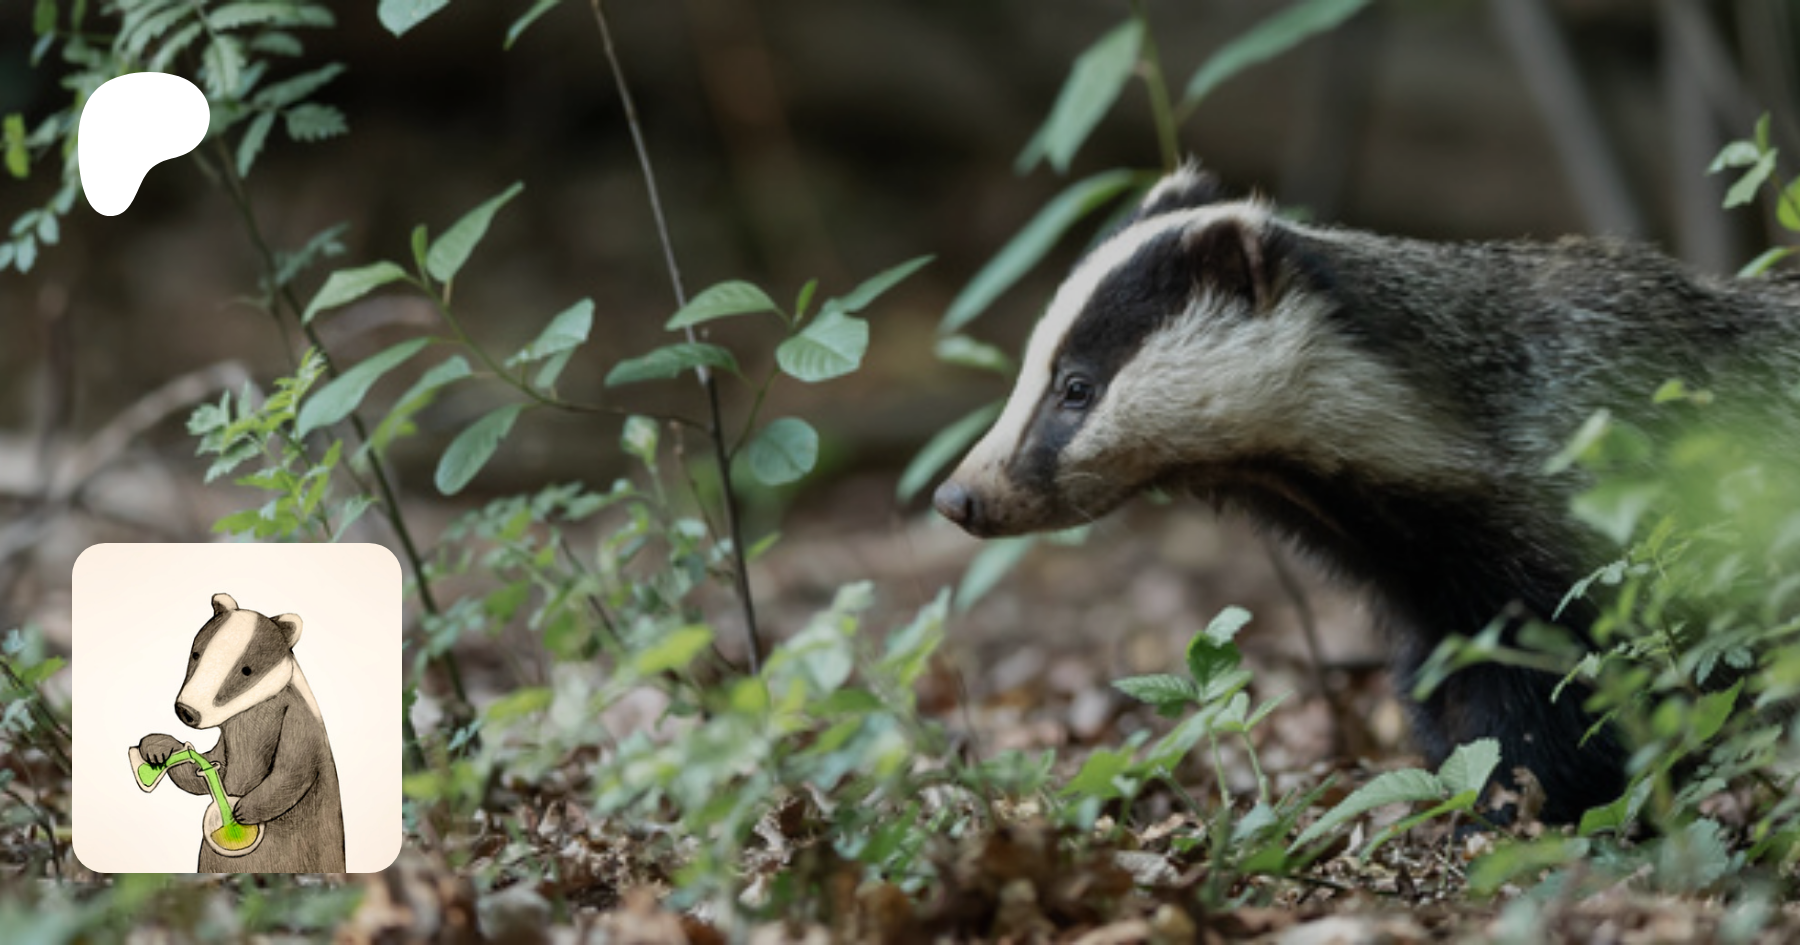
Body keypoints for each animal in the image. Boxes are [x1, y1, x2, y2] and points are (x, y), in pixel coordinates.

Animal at [933, 165, 1800, 822]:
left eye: (1077, 387)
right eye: (1034, 372)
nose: (957, 496)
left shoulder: (1590, 538)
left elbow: (1580, 696)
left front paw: (1513, 809)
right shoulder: (1432, 584)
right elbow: (1453, 691)